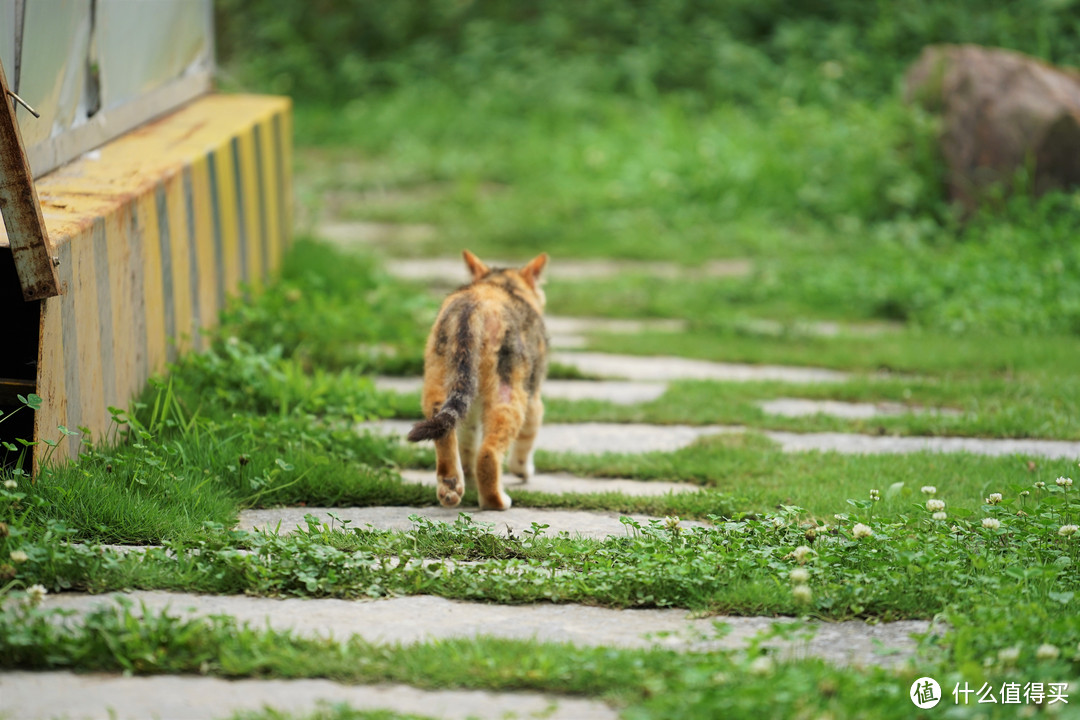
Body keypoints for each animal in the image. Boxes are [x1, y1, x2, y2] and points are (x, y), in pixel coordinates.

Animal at [408, 250, 552, 509]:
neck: (502, 284)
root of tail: (472, 305)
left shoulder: (471, 409)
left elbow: (468, 442)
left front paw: (470, 478)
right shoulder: (534, 396)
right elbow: (527, 438)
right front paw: (523, 471)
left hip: (439, 380)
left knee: (445, 430)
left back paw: (451, 487)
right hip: (509, 390)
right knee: (488, 452)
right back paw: (496, 500)